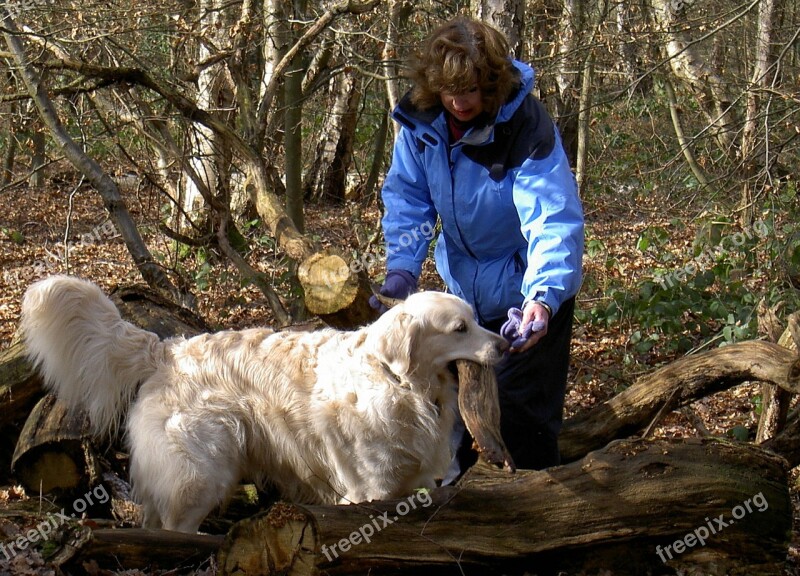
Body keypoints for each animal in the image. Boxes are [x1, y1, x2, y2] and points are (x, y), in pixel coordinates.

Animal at [20, 276, 506, 532]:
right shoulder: (370, 489)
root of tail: (168, 350)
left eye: (476, 320)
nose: (505, 344)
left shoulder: (404, 486)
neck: (399, 382)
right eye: (460, 328)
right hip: (199, 475)